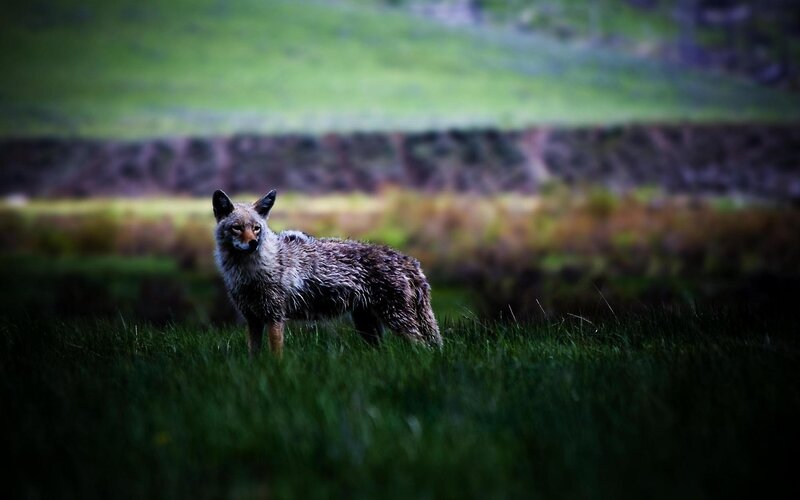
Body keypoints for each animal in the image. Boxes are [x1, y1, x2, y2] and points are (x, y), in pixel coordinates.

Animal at [212, 189, 442, 355]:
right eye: (236, 228)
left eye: (256, 228)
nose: (253, 243)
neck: (247, 272)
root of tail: (407, 259)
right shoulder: (253, 319)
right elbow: (254, 356)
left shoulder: (275, 316)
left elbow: (276, 355)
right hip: (368, 327)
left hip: (396, 321)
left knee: (422, 346)